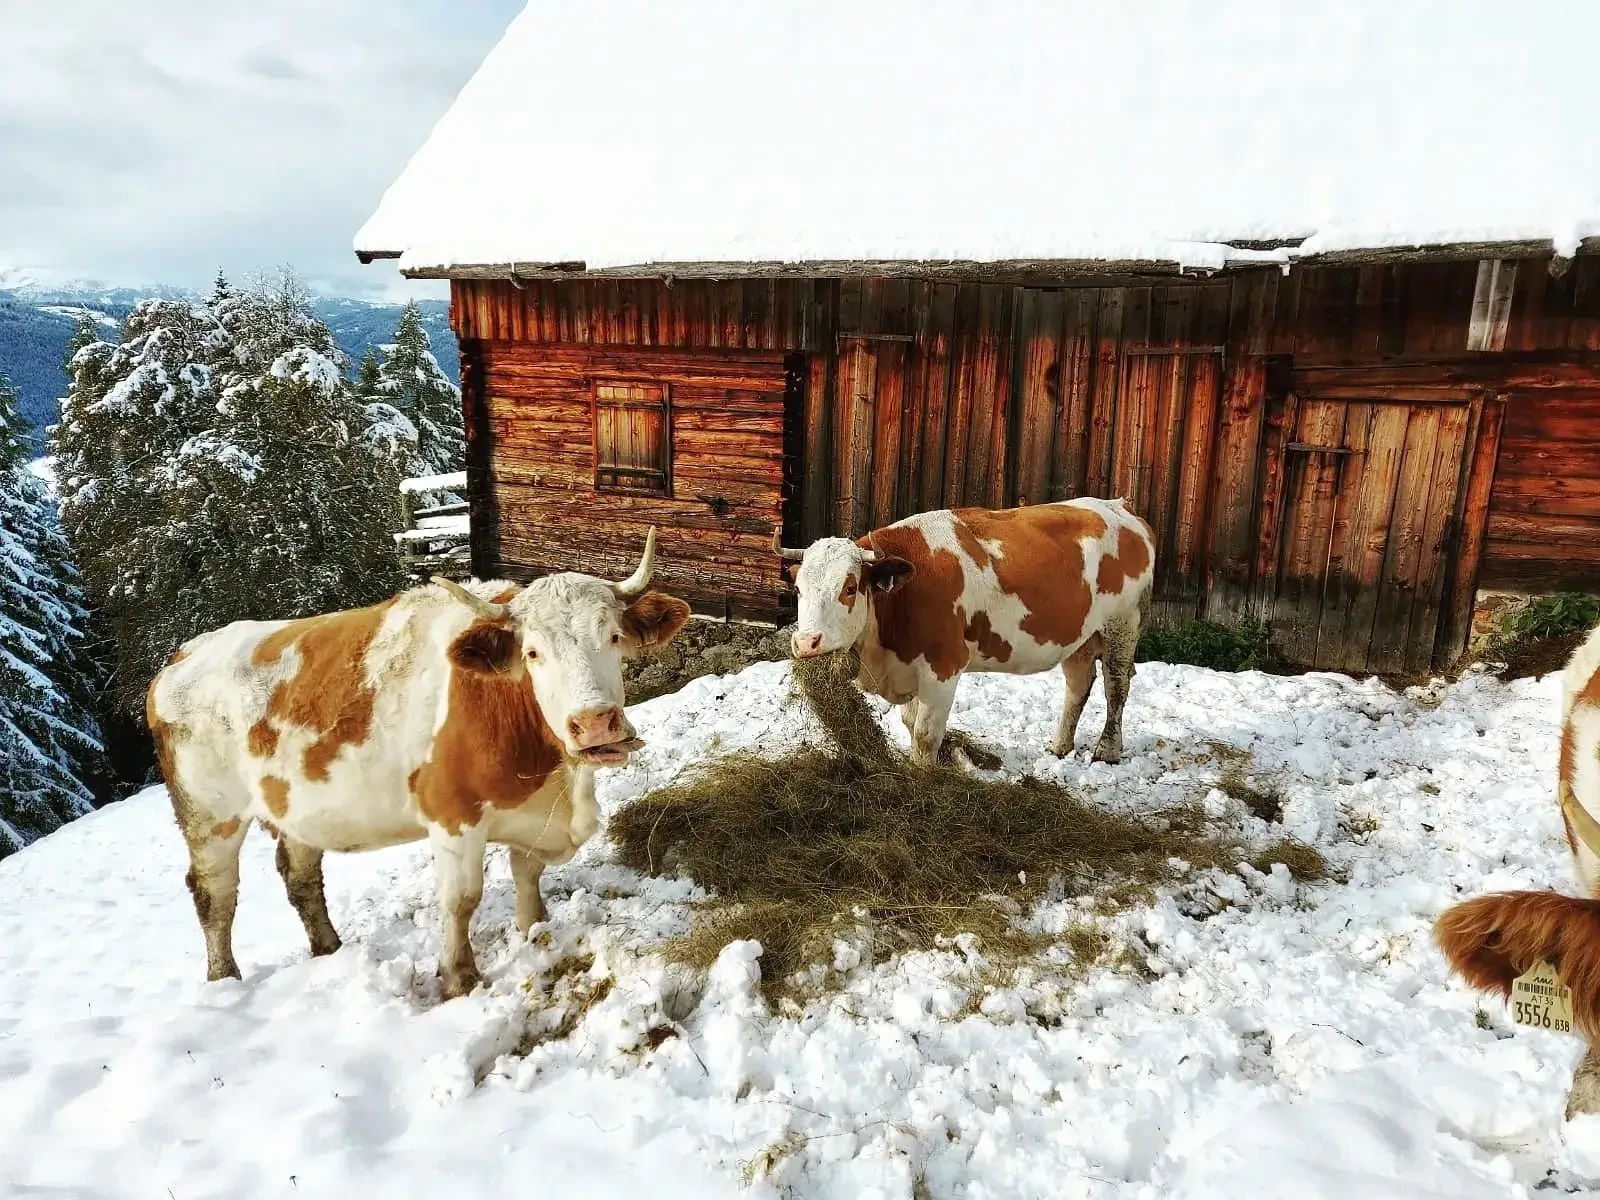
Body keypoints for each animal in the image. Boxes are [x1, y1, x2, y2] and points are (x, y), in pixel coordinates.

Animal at [151, 531, 694, 998]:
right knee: (215, 894)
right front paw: (459, 979)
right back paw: (224, 980)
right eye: (533, 652)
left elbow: (527, 873)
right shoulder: (452, 816)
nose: (594, 723)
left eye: (614, 637)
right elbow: (460, 899)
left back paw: (329, 948)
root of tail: (183, 655)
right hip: (209, 816)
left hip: (293, 806)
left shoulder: (532, 813)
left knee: (300, 875)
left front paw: (534, 930)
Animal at [771, 499, 1152, 764]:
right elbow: (909, 723)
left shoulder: (943, 668)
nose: (806, 642)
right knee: (1077, 686)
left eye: (850, 587)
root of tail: (1120, 507)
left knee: (1116, 687)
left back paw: (1107, 750)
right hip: (1080, 638)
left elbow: (925, 735)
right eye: (798, 588)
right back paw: (1059, 746)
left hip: (1123, 625)